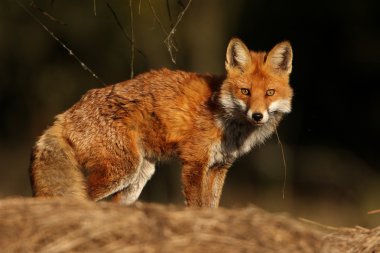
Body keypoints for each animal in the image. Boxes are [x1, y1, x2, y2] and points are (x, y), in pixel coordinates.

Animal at [29, 37, 294, 208]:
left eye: (269, 93)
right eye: (245, 91)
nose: (257, 116)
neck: (223, 113)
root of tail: (65, 114)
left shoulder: (219, 167)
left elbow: (212, 207)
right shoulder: (194, 162)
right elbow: (196, 205)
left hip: (139, 175)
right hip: (121, 170)